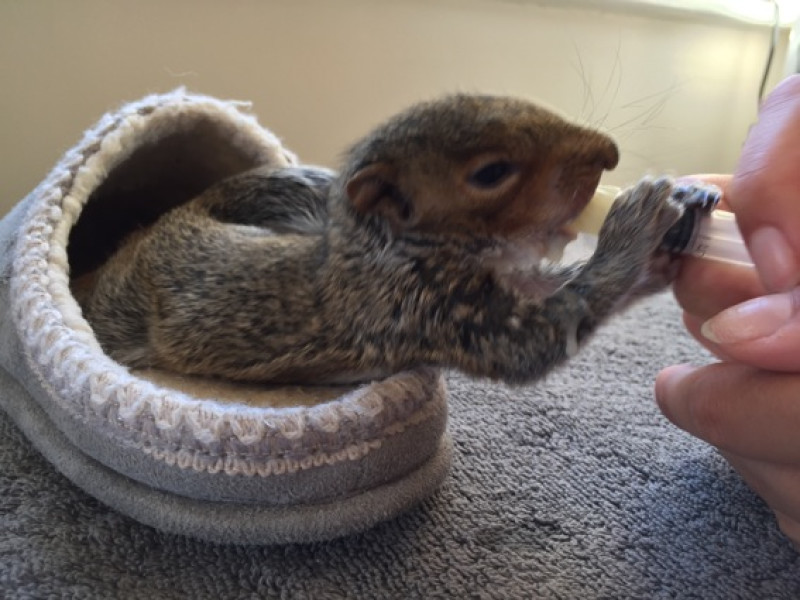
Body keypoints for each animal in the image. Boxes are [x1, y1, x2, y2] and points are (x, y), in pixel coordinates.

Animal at [72, 94, 706, 385]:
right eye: (491, 173)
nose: (609, 154)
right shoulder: (427, 309)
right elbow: (545, 332)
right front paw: (636, 223)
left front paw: (676, 230)